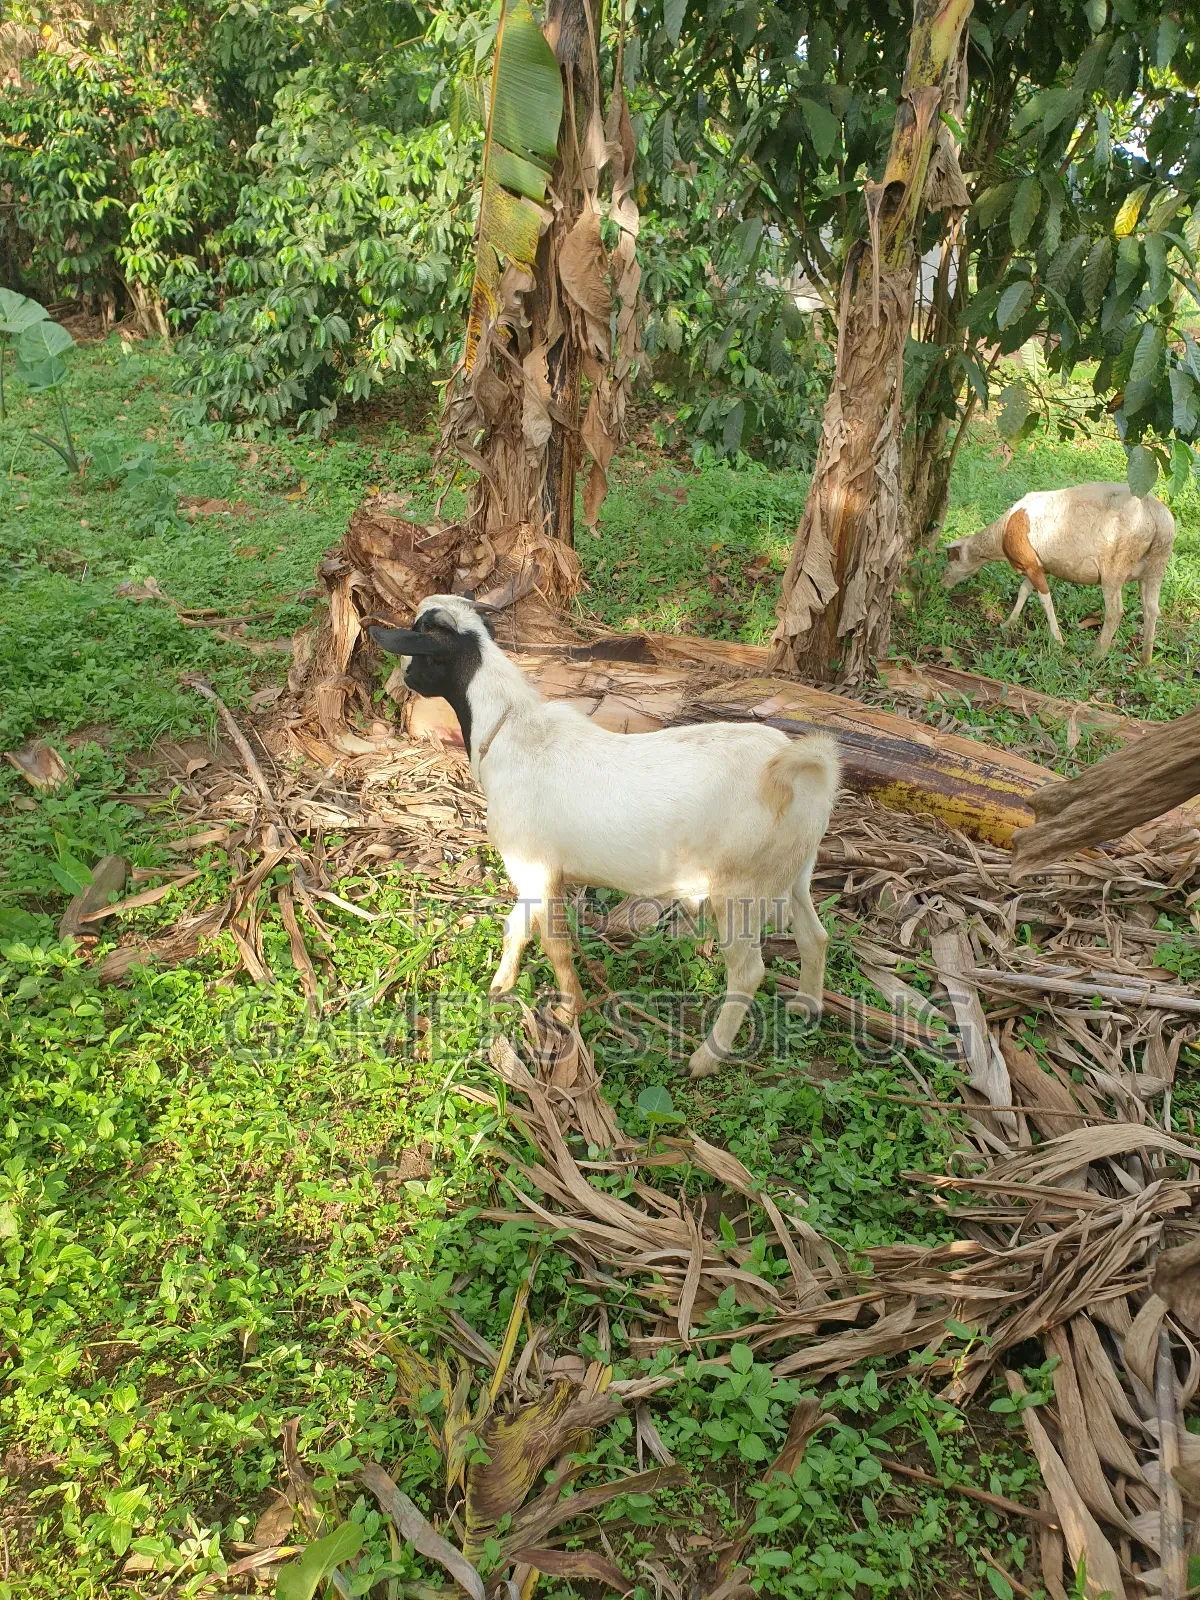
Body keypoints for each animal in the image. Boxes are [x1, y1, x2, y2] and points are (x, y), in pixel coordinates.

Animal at [371, 596, 841, 1078]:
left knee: (748, 972)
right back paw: (806, 1006)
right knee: (815, 936)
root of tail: (800, 768)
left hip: (741, 889)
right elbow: (515, 926)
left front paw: (568, 1009)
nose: (404, 680)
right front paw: (501, 987)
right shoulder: (529, 871)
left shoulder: (534, 865)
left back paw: (705, 1057)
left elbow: (554, 943)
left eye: (419, 644)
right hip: (792, 871)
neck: (510, 732)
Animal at [941, 482, 1175, 664]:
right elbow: (1024, 590)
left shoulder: (1030, 563)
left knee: (1115, 611)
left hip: (1115, 567)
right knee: (1151, 610)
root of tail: (1155, 514)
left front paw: (1057, 640)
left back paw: (1096, 656)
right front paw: (1009, 623)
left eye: (949, 561)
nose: (943, 584)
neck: (1000, 536)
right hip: (1157, 565)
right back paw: (1145, 660)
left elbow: (1044, 599)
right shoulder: (1037, 564)